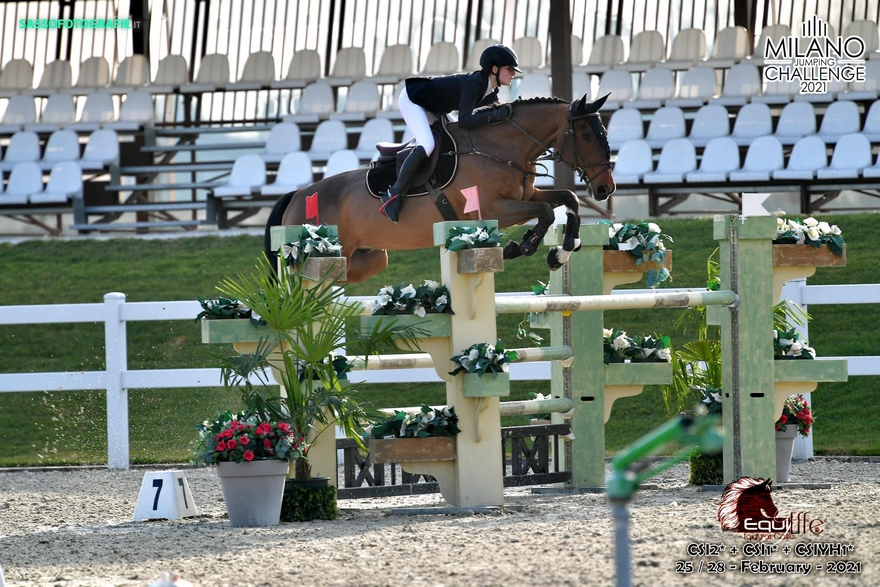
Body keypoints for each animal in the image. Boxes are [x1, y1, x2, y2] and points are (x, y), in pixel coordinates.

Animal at [264, 93, 616, 282]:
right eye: (587, 135)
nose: (605, 189)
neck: (499, 147)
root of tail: (296, 195)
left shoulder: (525, 195)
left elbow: (567, 199)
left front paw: (562, 252)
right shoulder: (491, 210)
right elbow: (545, 212)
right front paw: (521, 247)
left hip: (369, 258)